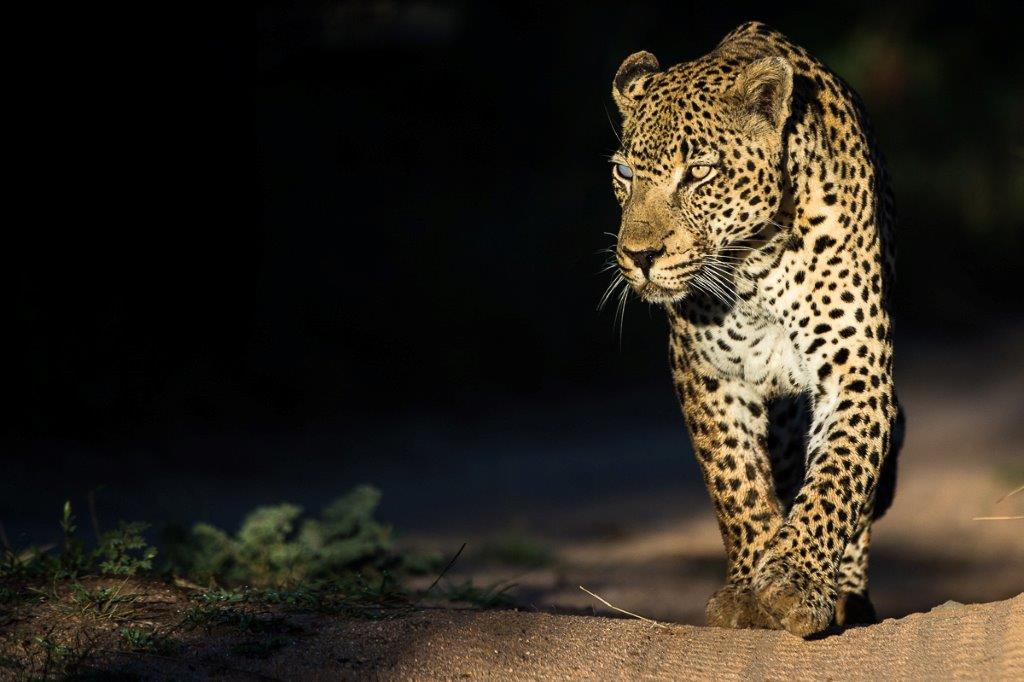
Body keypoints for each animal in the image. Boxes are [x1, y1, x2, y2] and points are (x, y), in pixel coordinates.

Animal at [606, 21, 904, 636]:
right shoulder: (708, 373)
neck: (754, 263)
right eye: (623, 173)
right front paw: (749, 588)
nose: (638, 256)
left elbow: (837, 478)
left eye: (698, 173)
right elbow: (735, 481)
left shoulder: (857, 371)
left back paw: (847, 596)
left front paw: (795, 583)